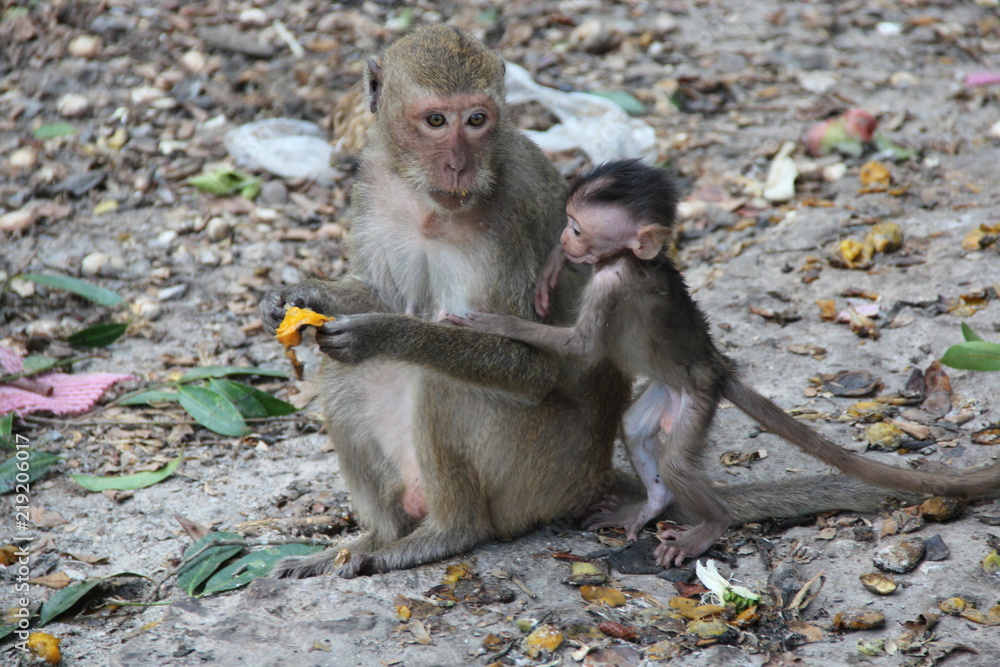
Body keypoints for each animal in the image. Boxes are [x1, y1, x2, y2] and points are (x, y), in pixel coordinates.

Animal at [448, 158, 1000, 567]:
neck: (628, 260)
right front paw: (550, 269)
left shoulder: (612, 284)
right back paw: (650, 505)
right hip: (670, 390)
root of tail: (716, 367)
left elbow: (583, 348)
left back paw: (710, 524)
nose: (565, 241)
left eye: (579, 229)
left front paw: (493, 324)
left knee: (676, 462)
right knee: (636, 428)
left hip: (697, 399)